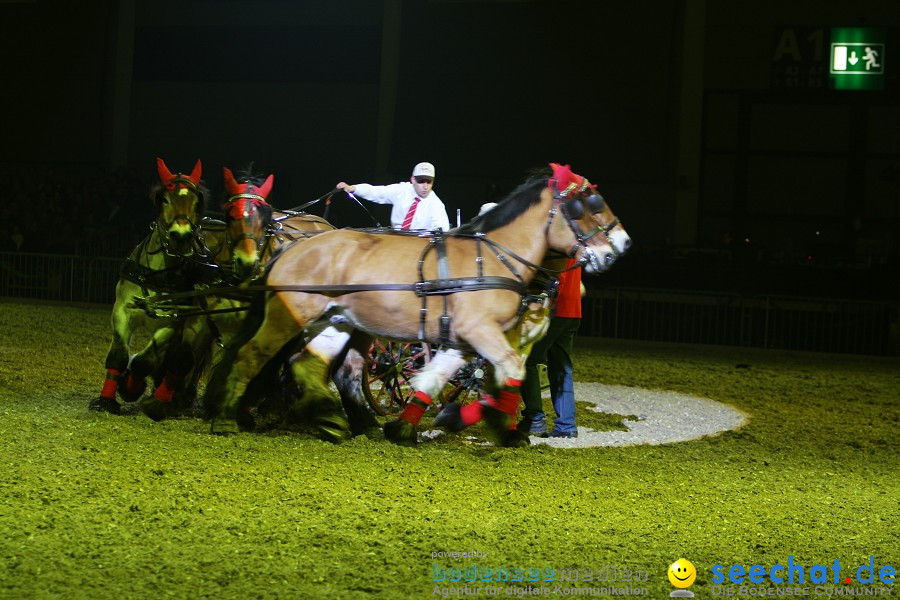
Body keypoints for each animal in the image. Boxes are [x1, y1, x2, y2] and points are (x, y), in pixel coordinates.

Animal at [91, 157, 211, 414]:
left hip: (198, 326)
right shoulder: (122, 311)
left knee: (182, 360)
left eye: (197, 202)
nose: (181, 235)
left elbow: (143, 361)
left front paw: (131, 387)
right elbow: (118, 355)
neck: (158, 273)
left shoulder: (171, 323)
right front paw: (107, 400)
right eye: (164, 199)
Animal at [204, 164, 628, 446]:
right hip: (290, 313)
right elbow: (509, 370)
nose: (622, 245)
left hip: (335, 320)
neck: (492, 257)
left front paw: (406, 426)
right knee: (254, 354)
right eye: (589, 203)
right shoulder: (481, 332)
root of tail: (291, 247)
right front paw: (487, 422)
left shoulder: (462, 339)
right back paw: (227, 418)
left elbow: (434, 379)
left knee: (311, 366)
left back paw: (332, 422)